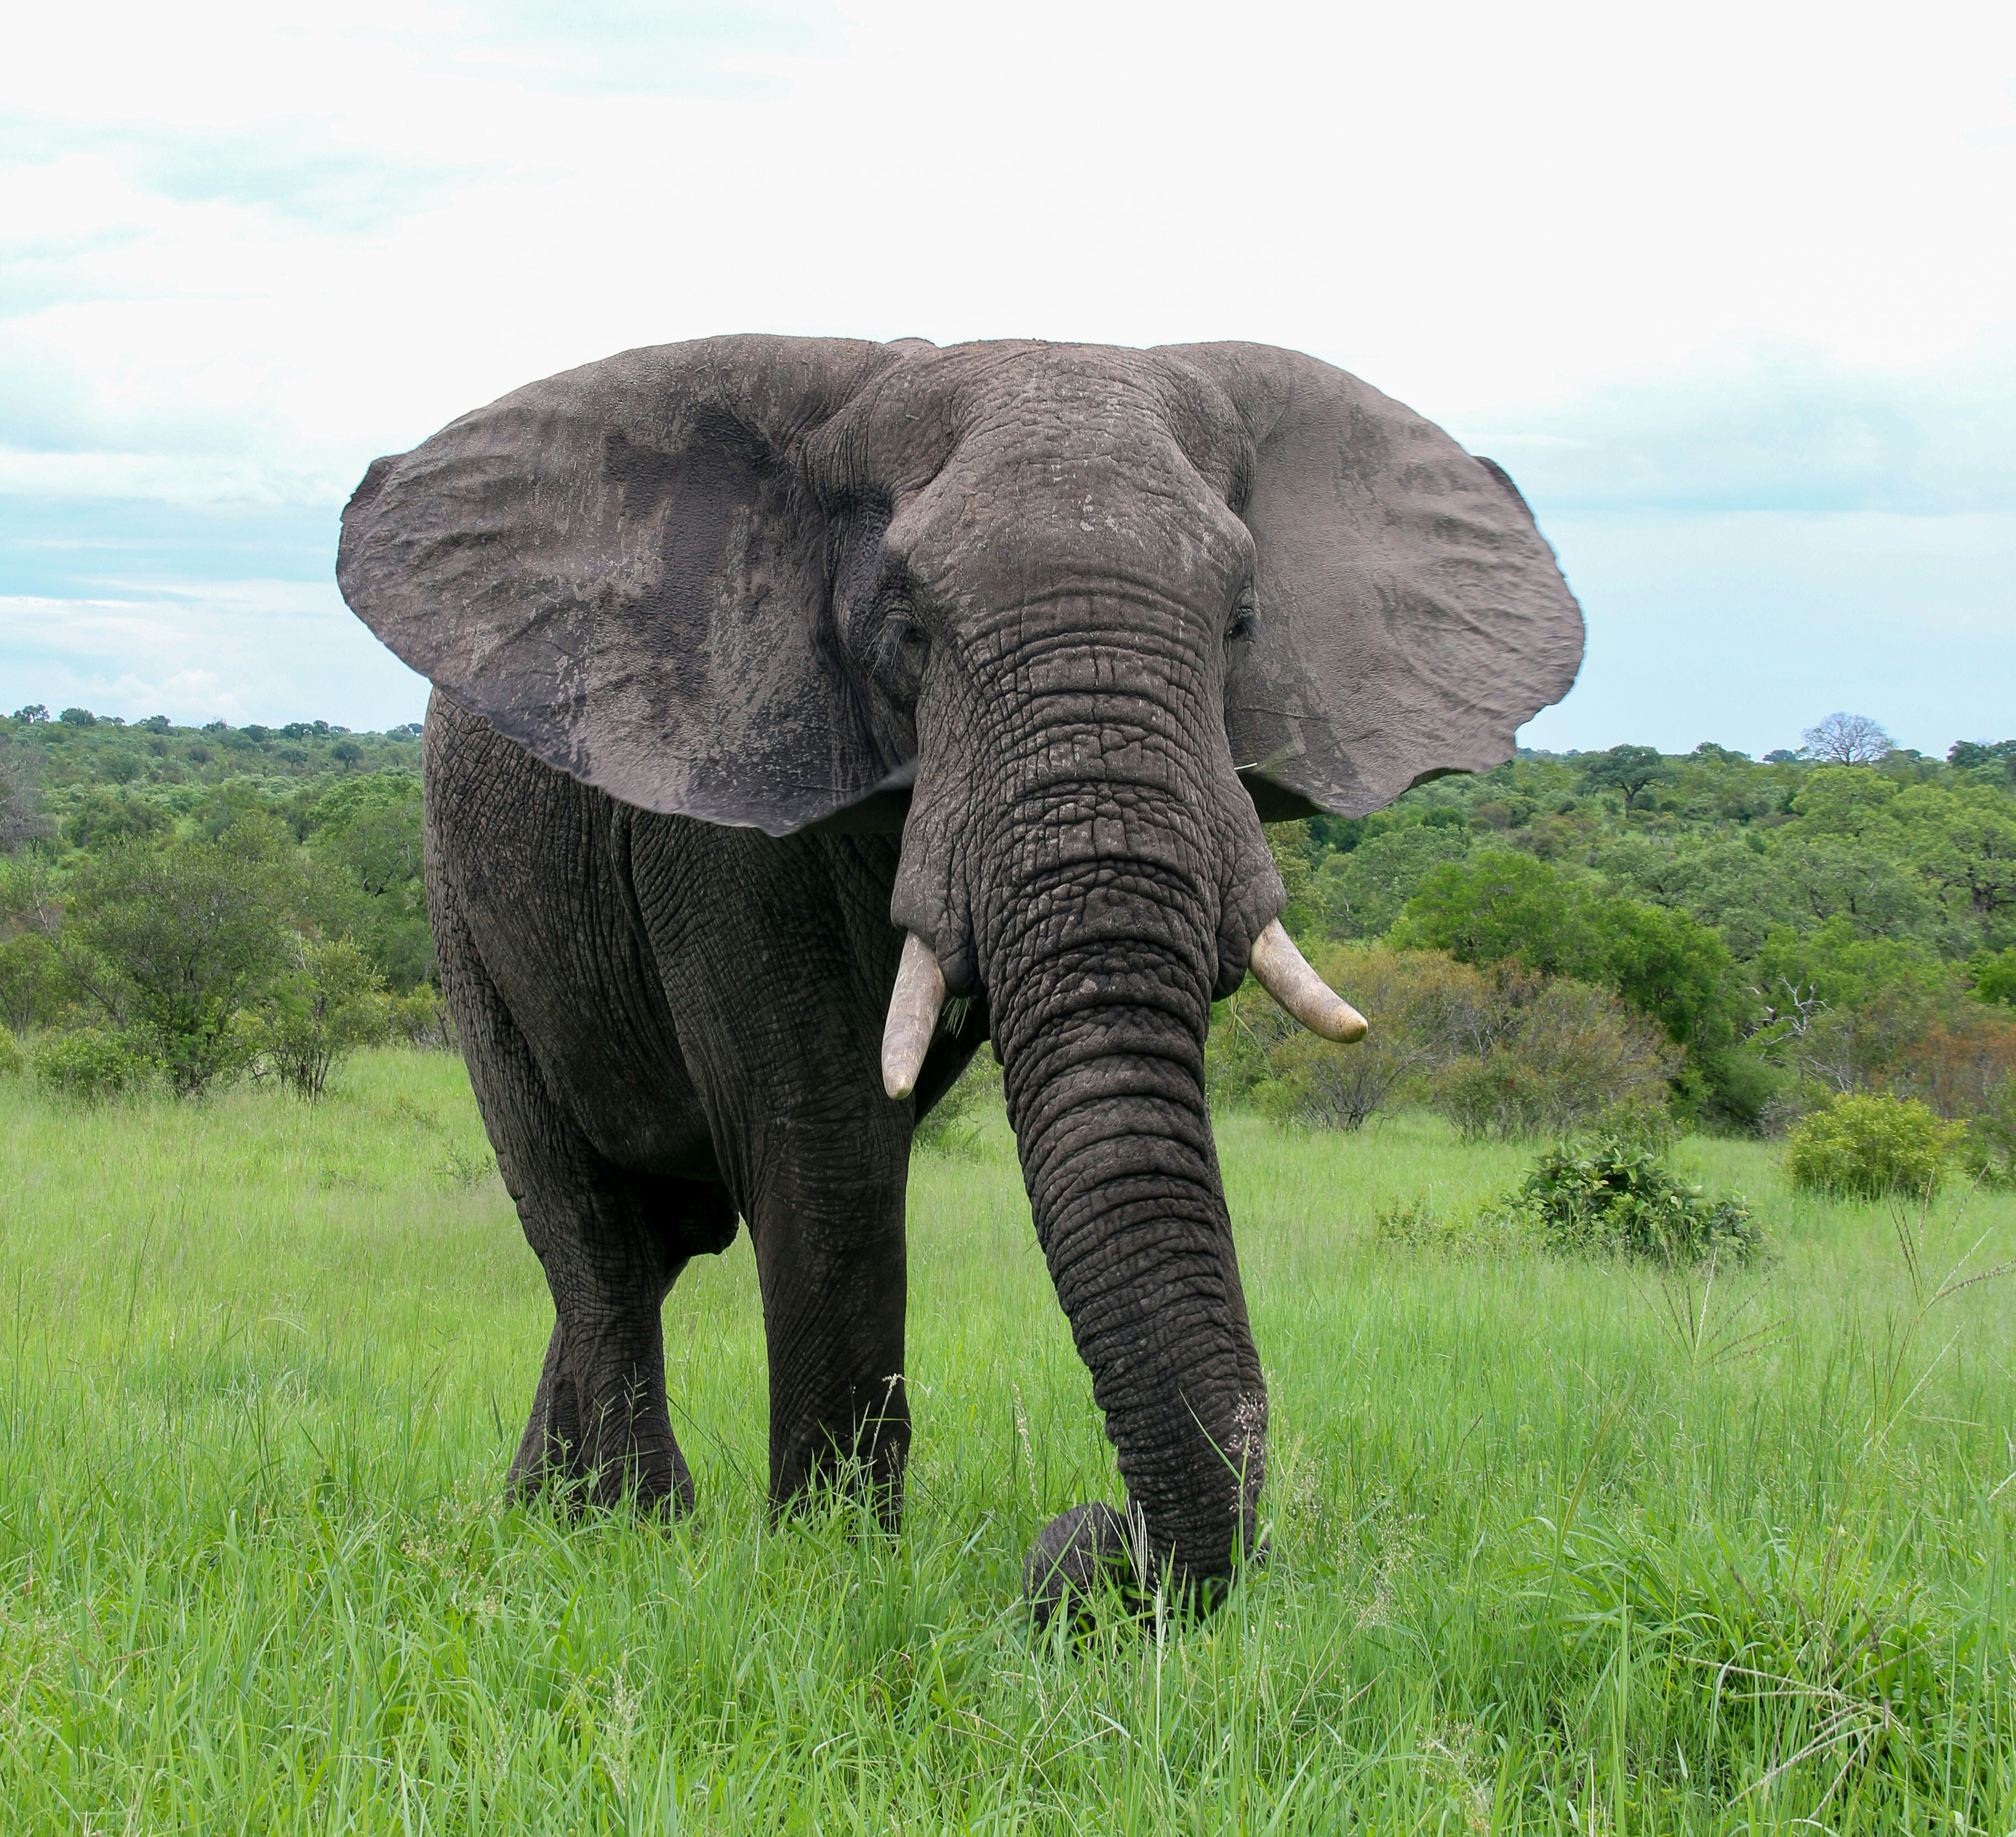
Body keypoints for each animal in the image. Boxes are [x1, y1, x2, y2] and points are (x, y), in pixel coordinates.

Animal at [336, 335, 1582, 1618]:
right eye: (911, 631)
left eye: (1240, 623)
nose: (1091, 1546)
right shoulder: (729, 790)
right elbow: (828, 1143)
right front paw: (832, 1565)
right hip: (464, 914)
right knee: (596, 1236)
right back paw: (630, 1528)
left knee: (662, 1237)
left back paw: (543, 1518)